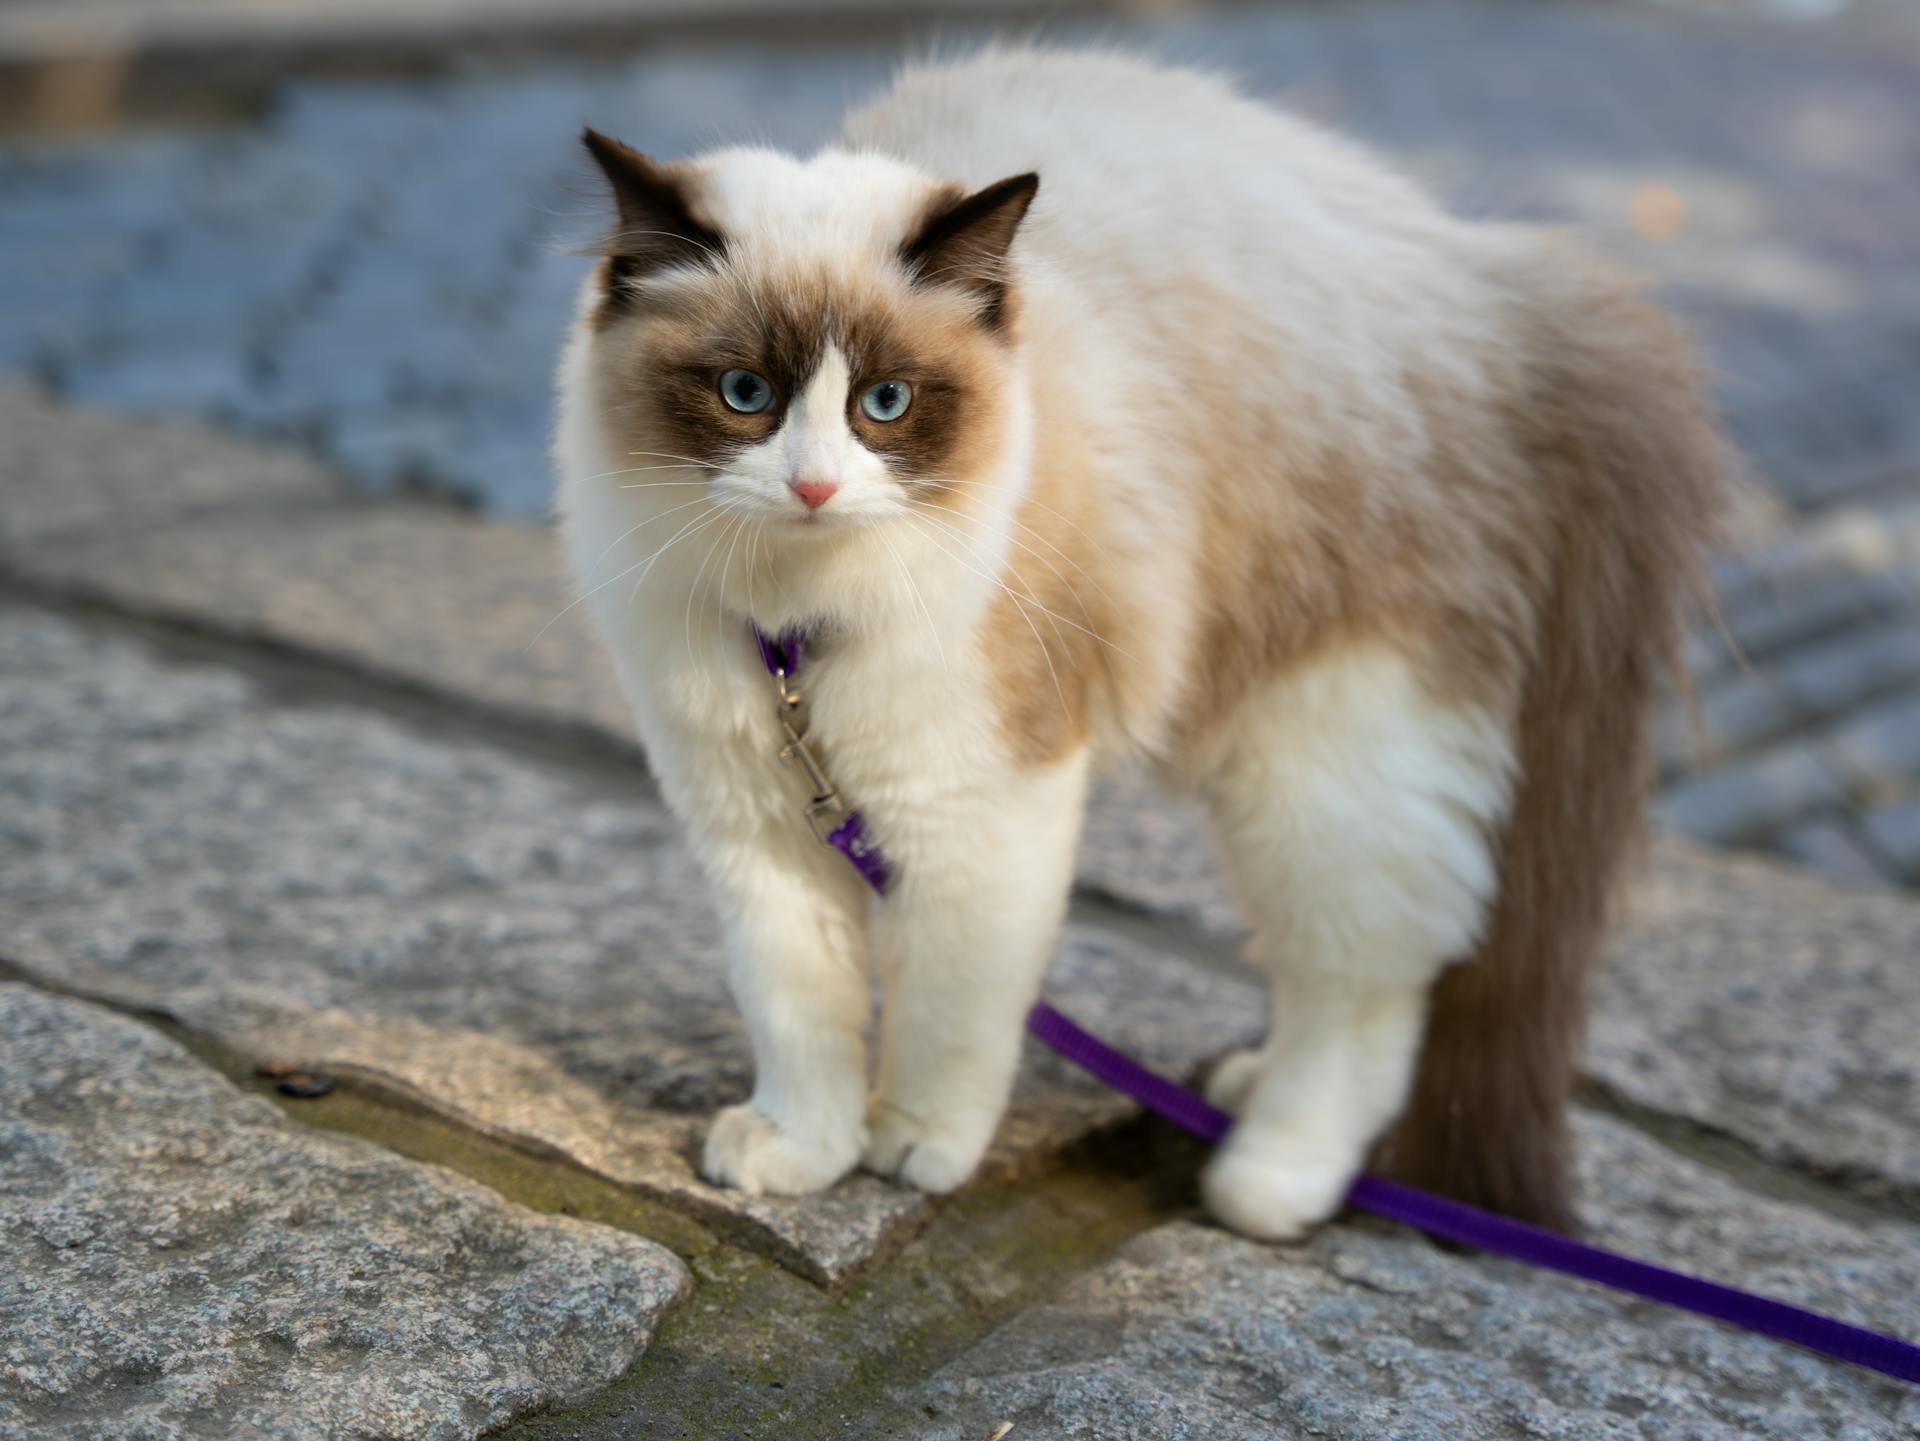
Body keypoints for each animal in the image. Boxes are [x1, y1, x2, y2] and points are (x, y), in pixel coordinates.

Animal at [556, 45, 1728, 1243]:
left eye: (886, 403)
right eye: (745, 394)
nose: (814, 488)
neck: (796, 636)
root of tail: (1505, 296)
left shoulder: (977, 804)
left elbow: (947, 1010)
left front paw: (914, 1151)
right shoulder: (755, 820)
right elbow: (798, 1006)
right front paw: (804, 1151)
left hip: (1325, 766)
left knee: (1368, 986)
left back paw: (1271, 1179)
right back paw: (1243, 1091)